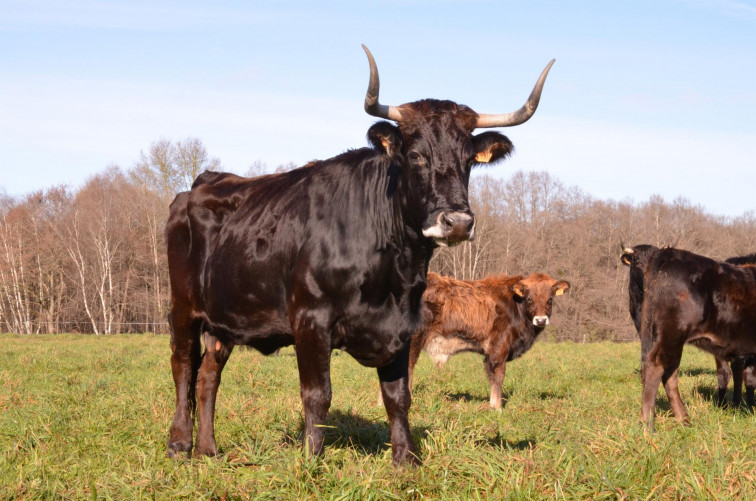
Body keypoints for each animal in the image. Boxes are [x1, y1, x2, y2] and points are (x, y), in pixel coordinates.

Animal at [404, 272, 568, 408]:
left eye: (550, 299)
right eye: (529, 299)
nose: (541, 320)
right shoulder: (498, 350)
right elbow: (498, 377)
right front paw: (497, 408)